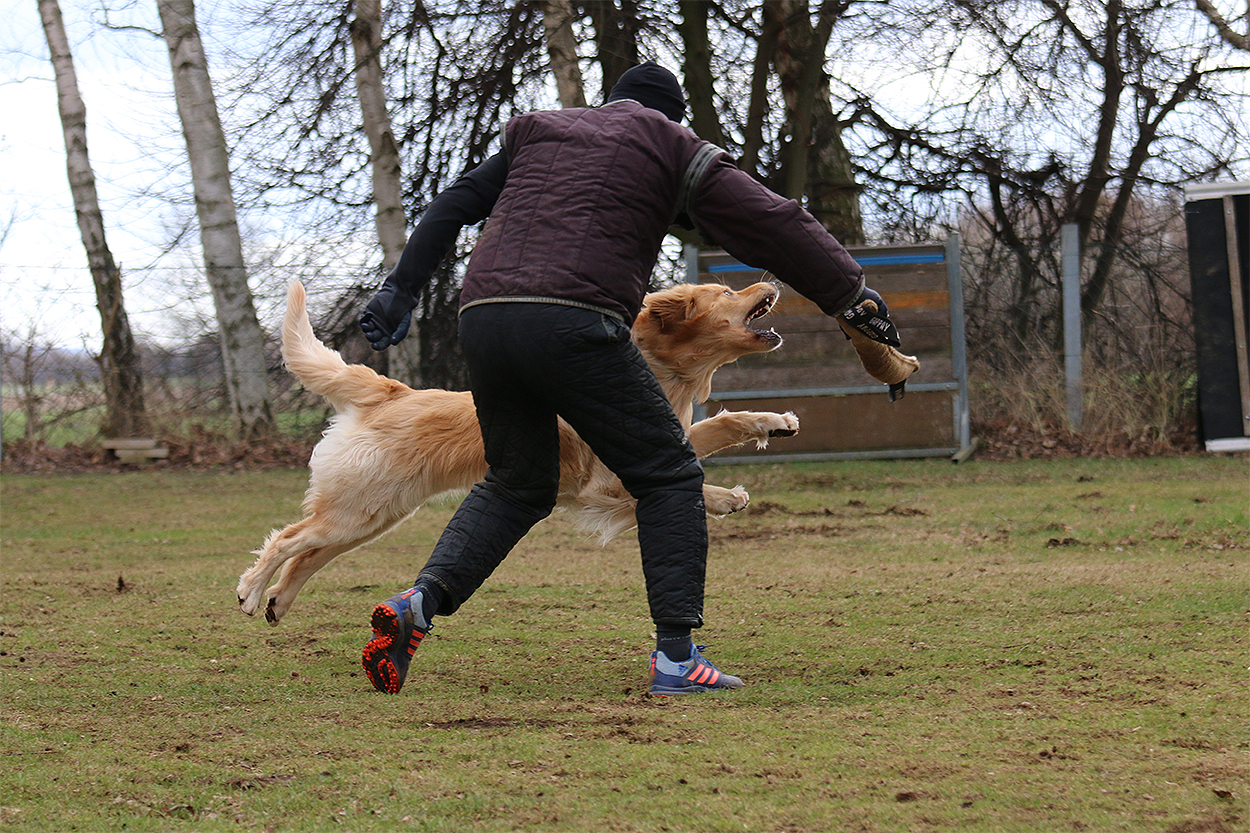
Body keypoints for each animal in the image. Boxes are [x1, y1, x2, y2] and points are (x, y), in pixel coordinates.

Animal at [237, 279, 800, 625]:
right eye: (727, 291)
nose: (771, 282)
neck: (664, 374)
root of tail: (392, 391)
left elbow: (723, 422)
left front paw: (774, 422)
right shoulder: (606, 483)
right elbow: (690, 477)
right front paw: (726, 497)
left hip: (373, 518)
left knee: (306, 554)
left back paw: (277, 601)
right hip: (356, 511)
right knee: (287, 539)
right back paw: (250, 590)